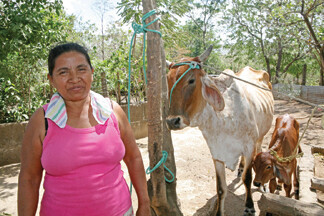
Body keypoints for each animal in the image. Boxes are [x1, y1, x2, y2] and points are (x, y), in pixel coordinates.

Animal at [166, 44, 274, 215]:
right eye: (168, 80)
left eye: (191, 80)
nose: (172, 121)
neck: (224, 118)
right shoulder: (217, 153)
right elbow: (221, 188)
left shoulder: (249, 147)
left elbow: (247, 179)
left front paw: (249, 206)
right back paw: (241, 167)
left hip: (260, 135)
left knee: (259, 149)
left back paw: (261, 183)